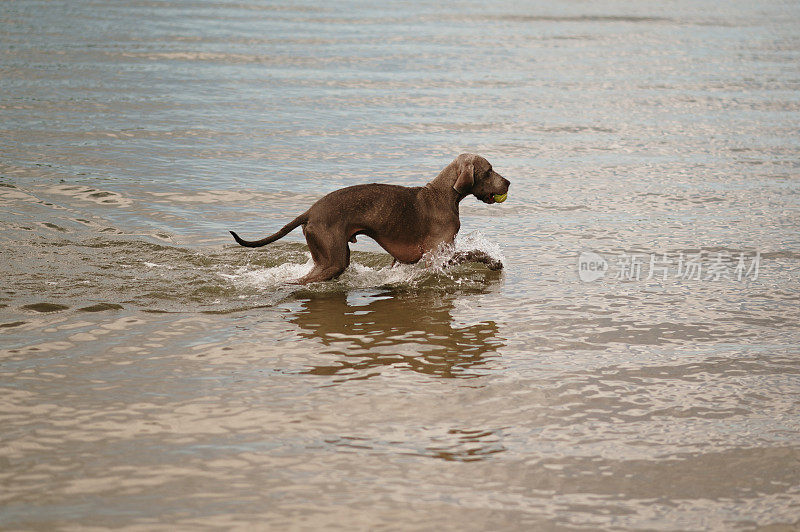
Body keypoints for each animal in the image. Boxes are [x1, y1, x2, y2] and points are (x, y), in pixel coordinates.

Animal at [228, 154, 510, 284]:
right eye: (489, 170)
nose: (508, 182)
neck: (443, 195)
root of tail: (310, 211)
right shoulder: (437, 257)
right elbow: (474, 252)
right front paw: (494, 261)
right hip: (333, 260)